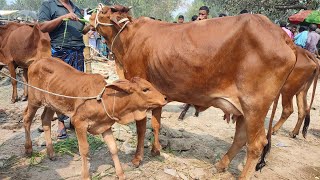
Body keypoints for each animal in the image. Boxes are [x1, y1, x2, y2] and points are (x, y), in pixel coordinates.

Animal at [23, 57, 168, 179]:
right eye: (145, 89)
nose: (165, 98)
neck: (104, 100)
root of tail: (37, 61)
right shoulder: (79, 123)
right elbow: (84, 150)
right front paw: (86, 175)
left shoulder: (105, 127)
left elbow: (113, 148)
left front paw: (121, 174)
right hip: (34, 100)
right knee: (26, 119)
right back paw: (28, 149)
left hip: (51, 104)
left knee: (45, 120)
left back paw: (51, 153)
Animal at [89, 4, 298, 179]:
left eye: (103, 11)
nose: (89, 16)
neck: (127, 38)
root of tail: (282, 36)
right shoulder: (156, 94)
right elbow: (156, 123)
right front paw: (156, 150)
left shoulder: (139, 94)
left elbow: (142, 128)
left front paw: (137, 158)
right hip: (243, 109)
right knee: (241, 137)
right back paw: (221, 165)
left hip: (254, 105)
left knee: (256, 145)